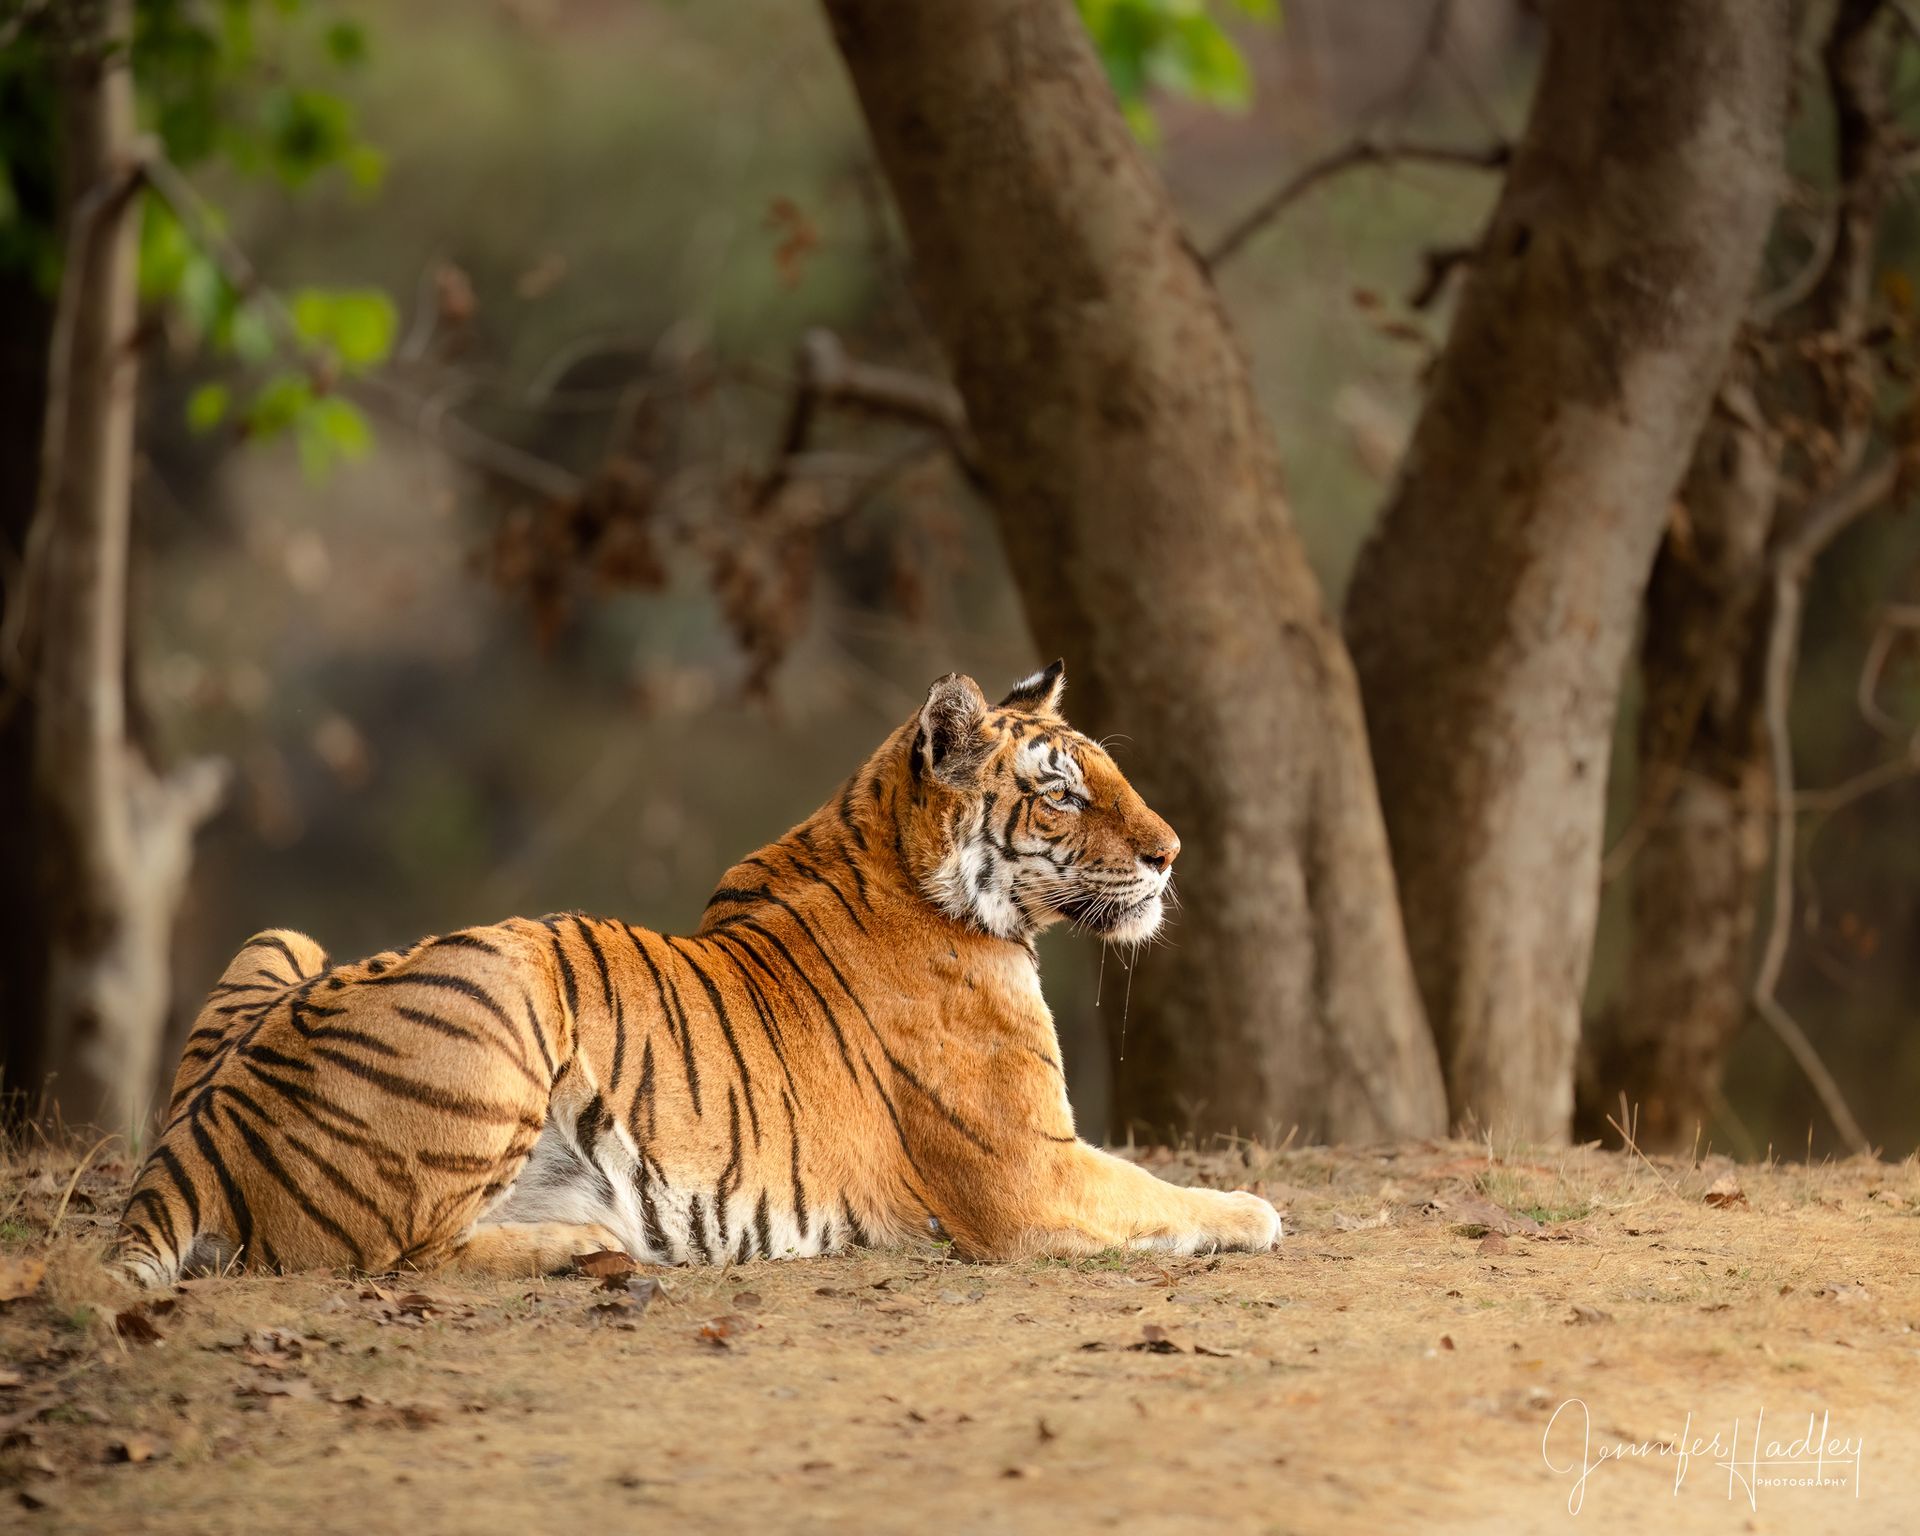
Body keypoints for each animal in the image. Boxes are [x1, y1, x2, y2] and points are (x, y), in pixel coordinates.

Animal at [114, 662, 1282, 1285]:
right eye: (1062, 794)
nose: (1172, 854)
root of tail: (197, 1134)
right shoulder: (1029, 1176)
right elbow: (1167, 1195)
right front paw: (1260, 1211)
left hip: (284, 937)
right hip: (504, 981)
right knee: (400, 1259)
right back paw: (585, 1241)